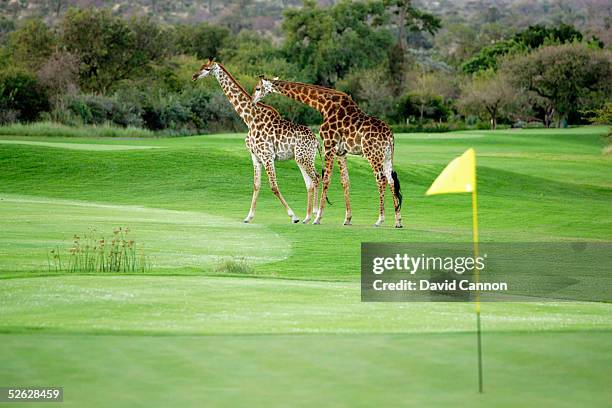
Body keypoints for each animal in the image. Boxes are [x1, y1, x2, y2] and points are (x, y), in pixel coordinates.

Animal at [194, 59, 322, 223]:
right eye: (201, 66)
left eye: (207, 69)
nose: (194, 76)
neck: (250, 119)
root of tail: (316, 141)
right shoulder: (255, 156)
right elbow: (256, 185)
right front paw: (248, 217)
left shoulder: (267, 156)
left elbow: (273, 186)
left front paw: (293, 216)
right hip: (301, 158)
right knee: (310, 183)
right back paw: (307, 217)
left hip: (304, 157)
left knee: (316, 178)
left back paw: (316, 215)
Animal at [251, 78, 404, 228]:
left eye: (258, 88)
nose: (253, 101)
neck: (323, 106)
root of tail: (390, 136)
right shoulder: (341, 152)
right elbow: (345, 181)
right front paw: (347, 219)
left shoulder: (329, 145)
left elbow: (326, 179)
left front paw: (317, 218)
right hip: (387, 157)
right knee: (391, 180)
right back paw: (398, 221)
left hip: (373, 155)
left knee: (381, 179)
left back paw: (380, 220)